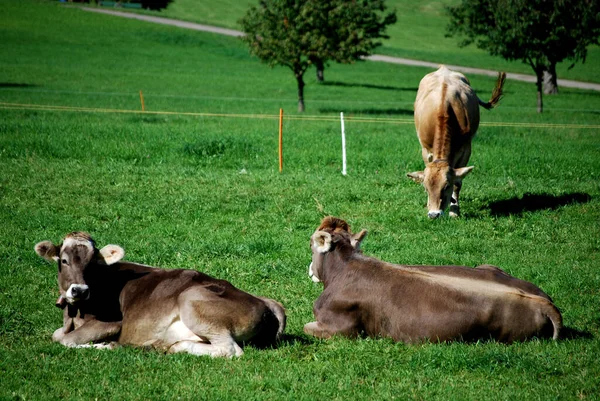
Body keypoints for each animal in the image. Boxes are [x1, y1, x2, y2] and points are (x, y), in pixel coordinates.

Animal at [35, 230, 286, 358]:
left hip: (191, 300)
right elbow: (57, 335)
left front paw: (106, 345)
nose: (79, 289)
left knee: (230, 350)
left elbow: (65, 340)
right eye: (64, 261)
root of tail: (263, 301)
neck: (75, 314)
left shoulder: (112, 322)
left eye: (93, 263)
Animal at [304, 217, 564, 342]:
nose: (309, 270)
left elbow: (307, 327)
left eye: (310, 244)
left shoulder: (339, 328)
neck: (344, 267)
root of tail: (542, 302)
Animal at [408, 65, 506, 219]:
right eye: (426, 187)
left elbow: (458, 182)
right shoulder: (425, 150)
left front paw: (454, 211)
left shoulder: (465, 149)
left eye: (446, 186)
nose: (434, 214)